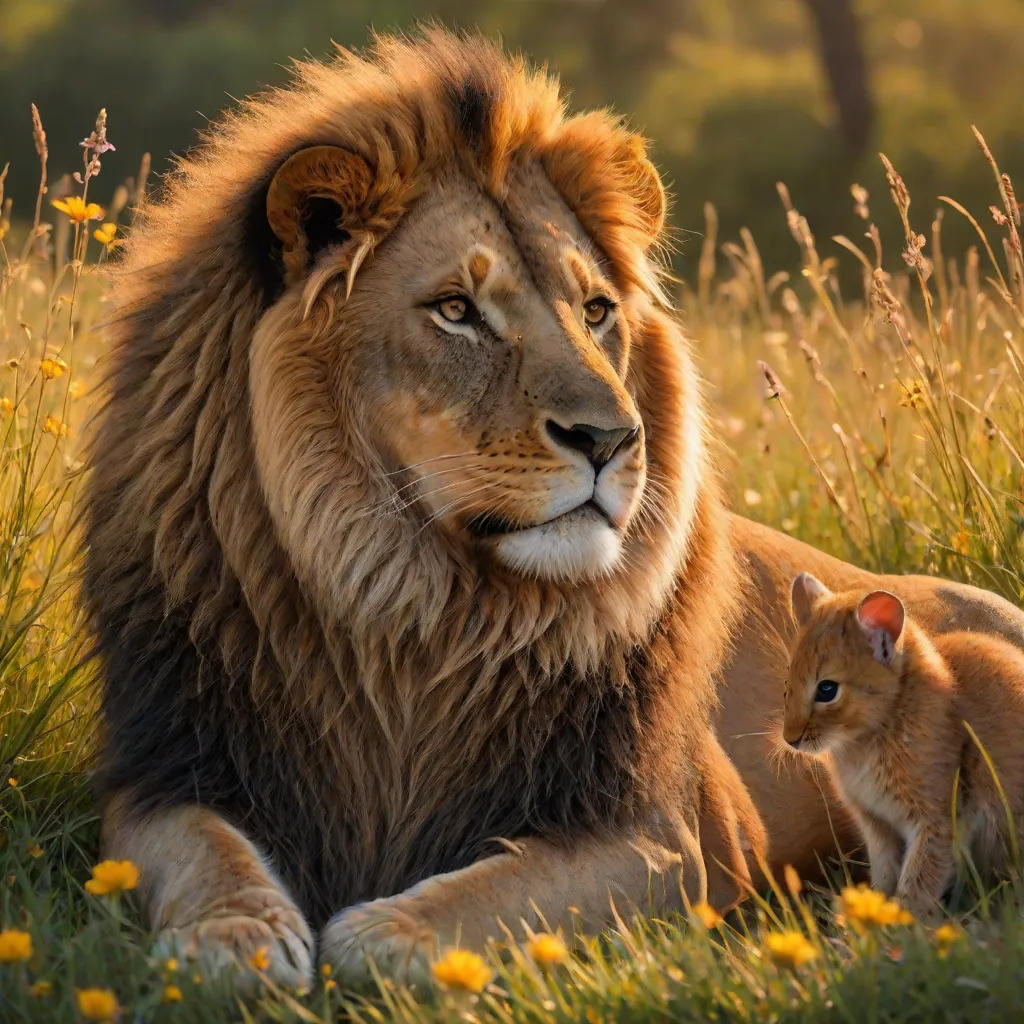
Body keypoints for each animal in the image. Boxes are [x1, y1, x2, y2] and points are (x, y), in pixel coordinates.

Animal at [83, 29, 1024, 988]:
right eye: (456, 309)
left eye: (596, 310)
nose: (612, 438)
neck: (414, 613)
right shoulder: (168, 767)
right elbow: (202, 851)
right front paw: (233, 935)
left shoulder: (666, 832)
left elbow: (479, 899)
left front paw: (381, 932)